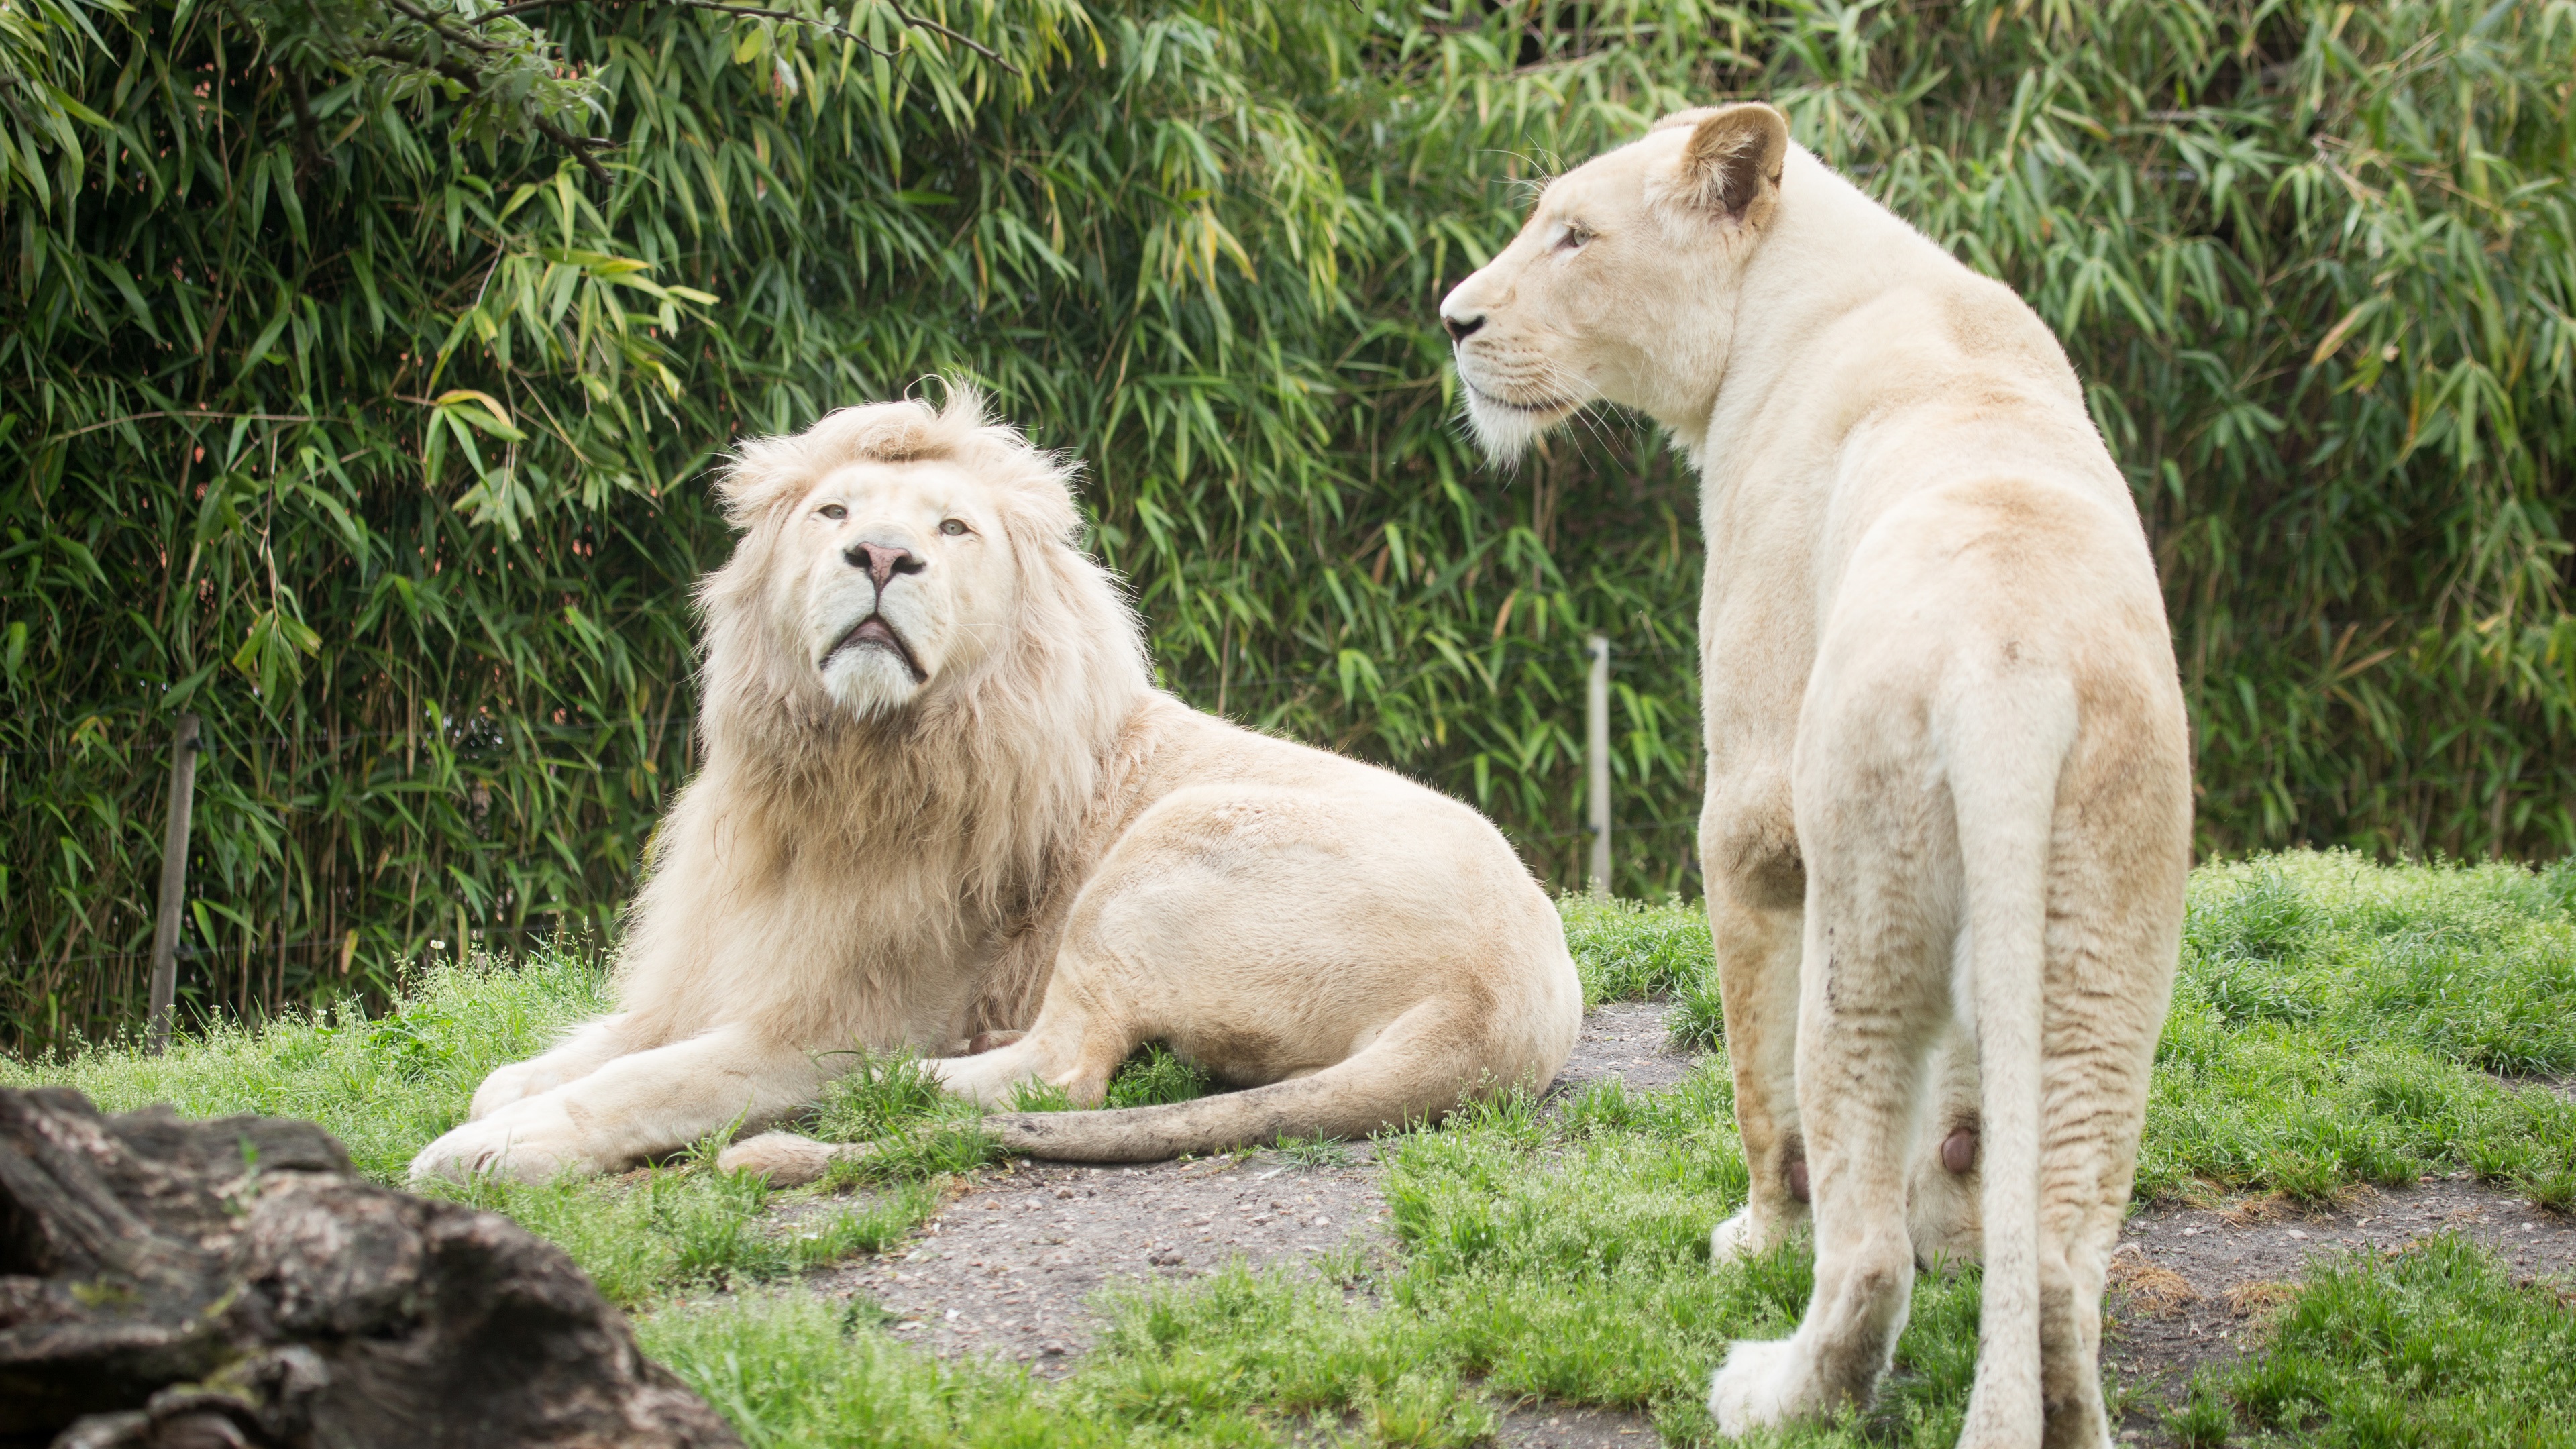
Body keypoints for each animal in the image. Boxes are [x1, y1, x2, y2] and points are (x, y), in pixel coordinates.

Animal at [407, 388, 1581, 1188]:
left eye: (952, 529)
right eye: (833, 514)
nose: (882, 556)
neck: (840, 767)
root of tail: (1495, 1010)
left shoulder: (829, 1017)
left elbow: (646, 1080)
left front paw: (491, 1147)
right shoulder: (712, 969)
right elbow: (581, 1052)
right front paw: (510, 1093)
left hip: (1168, 842)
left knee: (1056, 1074)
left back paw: (890, 1088)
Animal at [1438, 104, 2191, 1448]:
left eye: (1574, 235)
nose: (1454, 322)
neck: (1795, 291)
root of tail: (2010, 667)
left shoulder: (1750, 810)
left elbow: (1756, 1083)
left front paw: (1755, 1240)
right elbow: (1967, 1124)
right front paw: (1961, 1227)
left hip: (1866, 900)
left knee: (1864, 1240)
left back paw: (1771, 1388)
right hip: (2106, 944)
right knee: (2059, 1262)